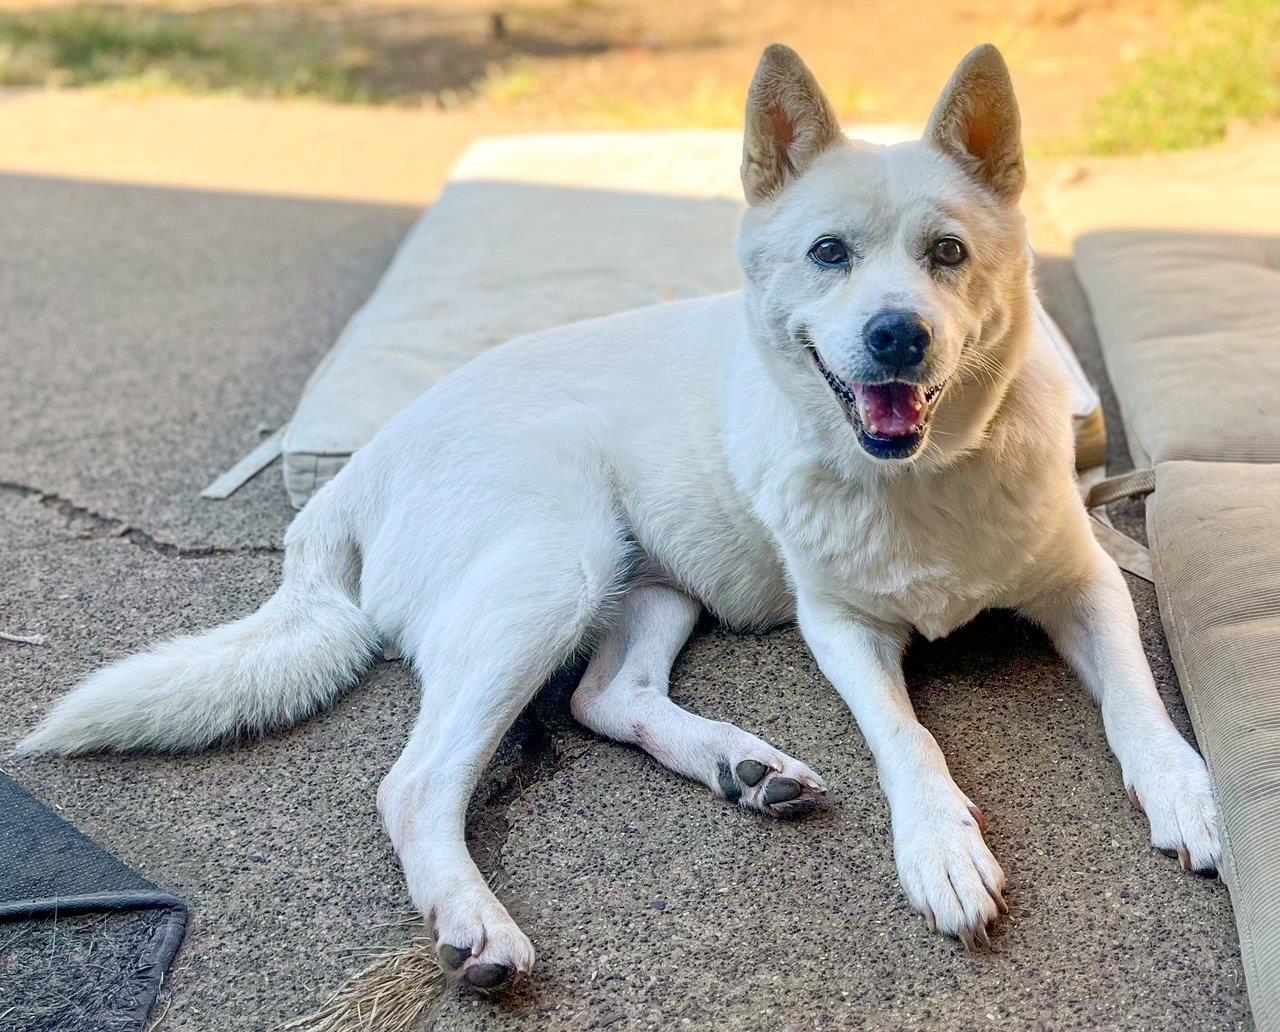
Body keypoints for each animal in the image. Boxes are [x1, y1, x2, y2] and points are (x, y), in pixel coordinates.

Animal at [20, 42, 1218, 993]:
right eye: (829, 253)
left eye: (949, 253)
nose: (896, 337)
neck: (923, 478)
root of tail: (354, 477)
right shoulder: (842, 631)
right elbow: (907, 738)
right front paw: (938, 844)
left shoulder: (1084, 583)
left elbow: (1137, 701)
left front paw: (1186, 792)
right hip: (554, 570)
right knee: (415, 784)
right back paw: (476, 924)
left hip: (649, 584)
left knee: (606, 696)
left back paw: (742, 768)